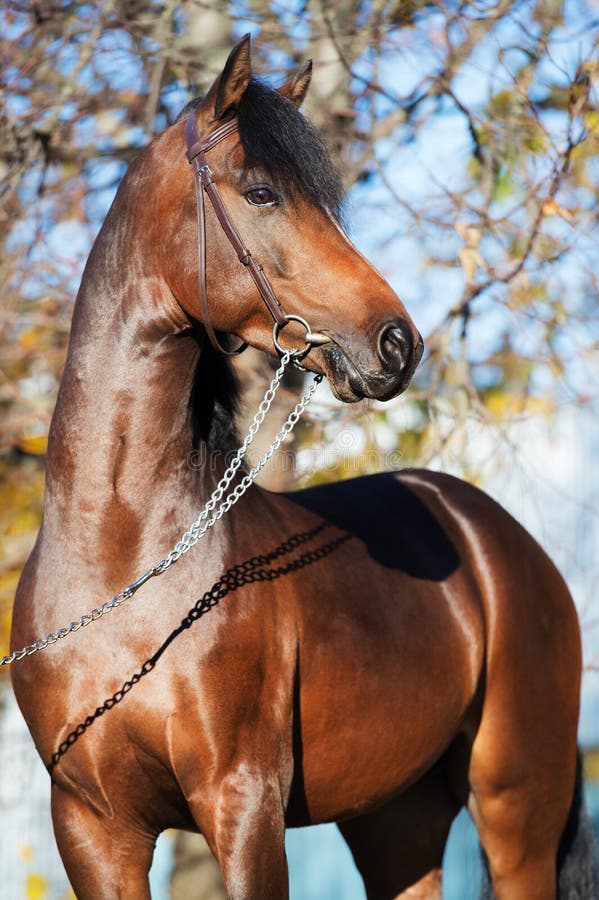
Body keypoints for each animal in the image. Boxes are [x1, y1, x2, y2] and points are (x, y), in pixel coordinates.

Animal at [9, 37, 596, 900]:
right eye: (260, 192)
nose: (397, 343)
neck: (123, 573)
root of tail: (502, 539)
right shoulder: (90, 827)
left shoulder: (243, 803)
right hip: (396, 820)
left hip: (515, 806)